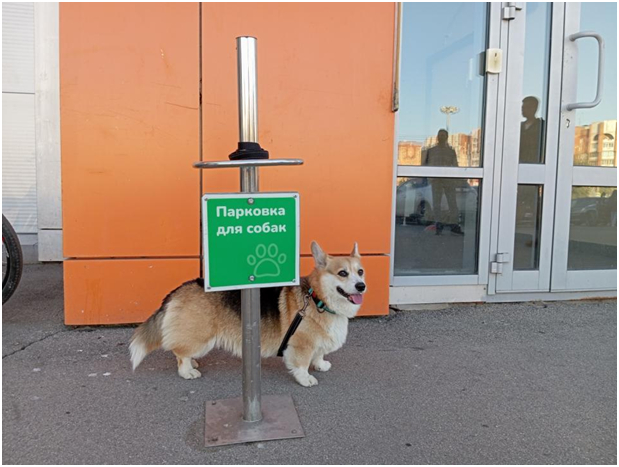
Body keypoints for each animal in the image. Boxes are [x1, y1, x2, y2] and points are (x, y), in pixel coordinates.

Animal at [128, 241, 366, 388]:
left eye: (360, 271)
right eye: (342, 273)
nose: (361, 286)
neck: (318, 299)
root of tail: (179, 290)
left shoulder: (317, 343)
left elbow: (318, 354)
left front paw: (321, 364)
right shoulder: (301, 345)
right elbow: (301, 363)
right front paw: (306, 378)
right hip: (201, 337)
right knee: (180, 353)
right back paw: (188, 371)